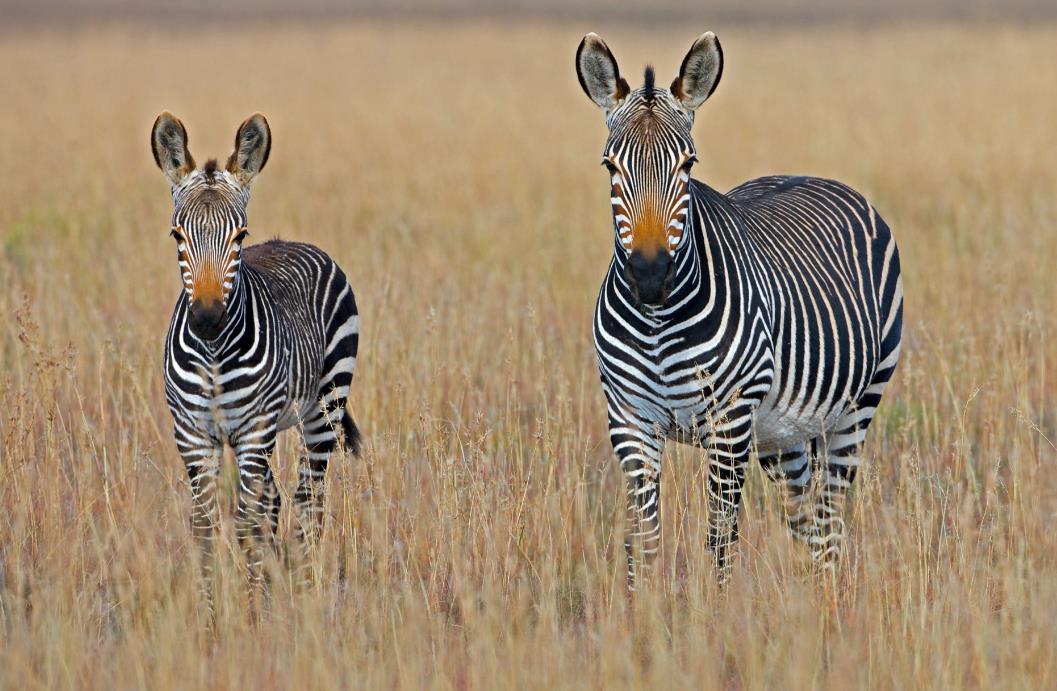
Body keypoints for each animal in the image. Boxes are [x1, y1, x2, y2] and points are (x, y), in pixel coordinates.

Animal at [149, 112, 363, 617]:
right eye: (177, 236)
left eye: (240, 236)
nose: (208, 319)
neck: (212, 355)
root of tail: (295, 242)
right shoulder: (193, 435)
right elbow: (206, 530)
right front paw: (211, 623)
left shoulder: (252, 433)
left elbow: (246, 527)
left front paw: (249, 621)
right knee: (277, 501)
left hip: (323, 410)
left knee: (308, 502)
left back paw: (305, 597)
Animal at [575, 29, 904, 587]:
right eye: (610, 166)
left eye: (688, 165)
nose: (650, 276)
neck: (658, 323)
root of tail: (810, 174)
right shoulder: (630, 420)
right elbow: (643, 543)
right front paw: (638, 610)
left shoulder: (729, 422)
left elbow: (719, 541)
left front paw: (715, 611)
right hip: (781, 434)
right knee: (804, 519)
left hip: (856, 408)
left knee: (830, 520)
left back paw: (828, 599)